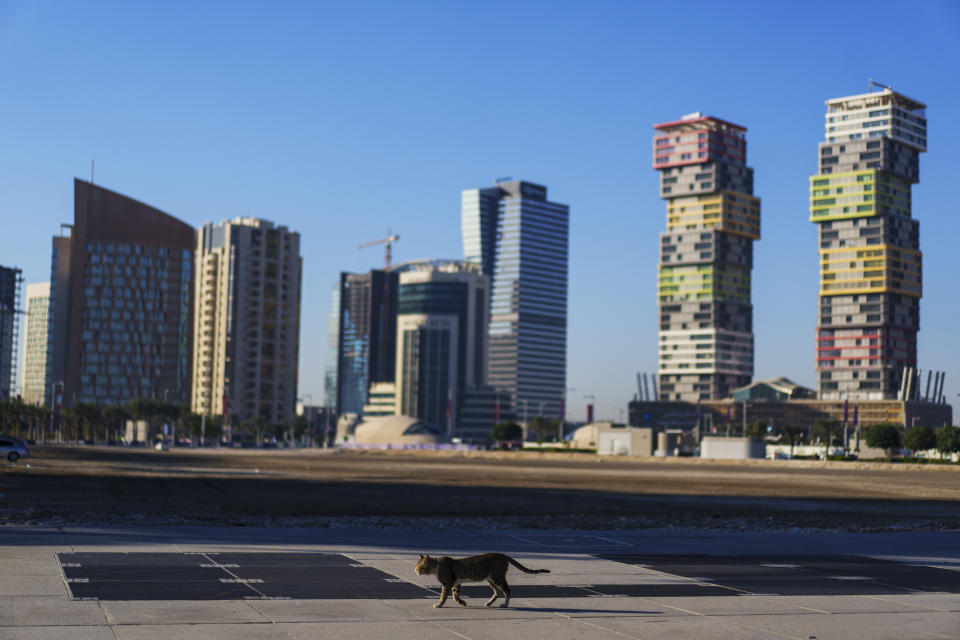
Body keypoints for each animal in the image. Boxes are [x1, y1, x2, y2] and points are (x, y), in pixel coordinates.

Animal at [416, 552, 552, 608]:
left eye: (419, 567)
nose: (414, 571)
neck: (437, 566)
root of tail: (501, 555)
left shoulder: (447, 583)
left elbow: (444, 596)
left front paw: (439, 604)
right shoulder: (456, 583)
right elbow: (455, 595)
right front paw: (462, 602)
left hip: (498, 576)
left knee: (507, 591)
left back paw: (505, 604)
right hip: (490, 579)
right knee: (498, 591)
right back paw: (490, 603)